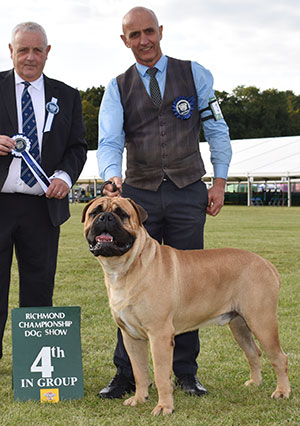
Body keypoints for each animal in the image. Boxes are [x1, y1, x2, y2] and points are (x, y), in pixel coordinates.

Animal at [82, 197, 290, 416]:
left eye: (122, 214)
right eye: (94, 212)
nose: (105, 217)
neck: (126, 267)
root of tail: (267, 264)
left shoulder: (160, 335)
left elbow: (161, 375)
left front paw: (164, 407)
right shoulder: (131, 336)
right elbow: (140, 372)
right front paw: (140, 398)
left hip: (262, 322)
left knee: (279, 357)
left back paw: (282, 392)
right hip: (239, 325)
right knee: (253, 352)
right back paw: (255, 383)